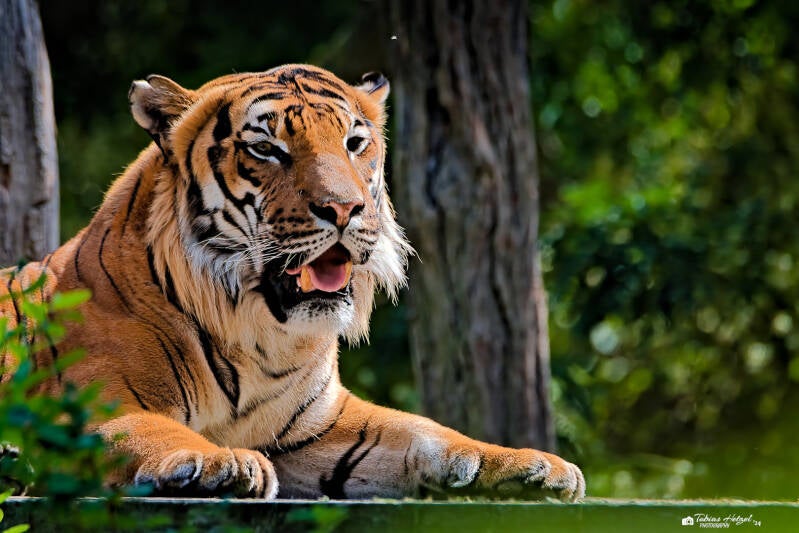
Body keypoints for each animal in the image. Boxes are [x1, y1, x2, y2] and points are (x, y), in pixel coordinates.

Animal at [0, 64, 585, 501]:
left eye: (354, 143)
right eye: (267, 149)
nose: (345, 209)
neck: (258, 338)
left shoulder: (319, 425)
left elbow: (423, 429)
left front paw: (530, 466)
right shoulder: (87, 406)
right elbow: (150, 429)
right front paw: (216, 462)